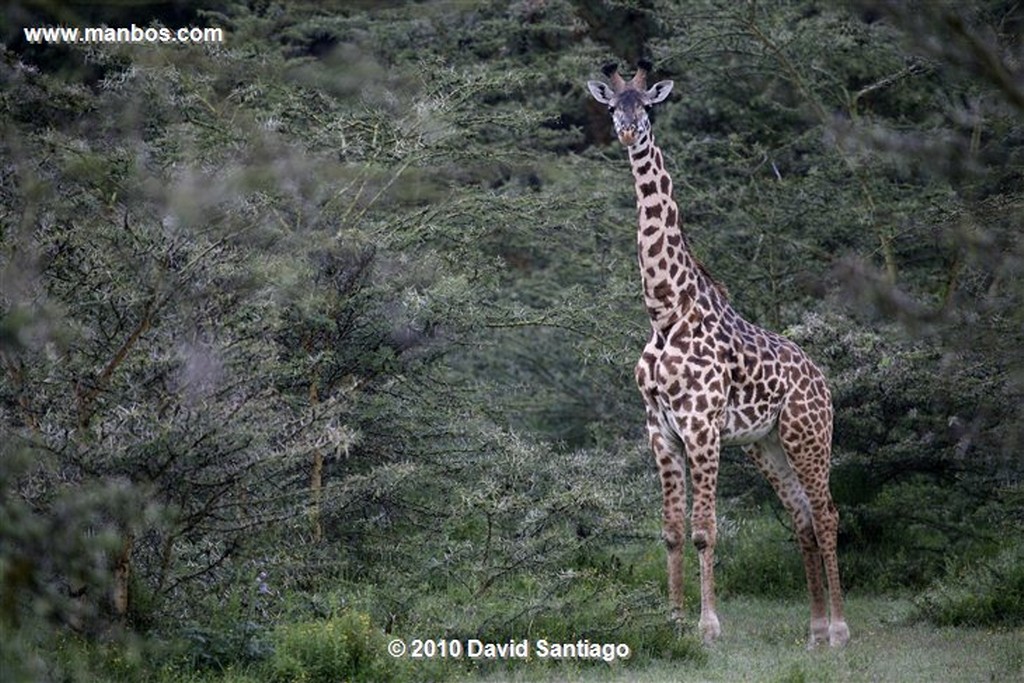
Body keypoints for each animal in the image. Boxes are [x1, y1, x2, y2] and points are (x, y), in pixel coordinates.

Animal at [589, 62, 851, 647]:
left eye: (648, 106)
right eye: (612, 106)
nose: (627, 131)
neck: (665, 312)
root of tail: (823, 381)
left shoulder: (702, 426)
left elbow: (705, 531)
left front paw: (708, 626)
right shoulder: (659, 429)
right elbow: (670, 531)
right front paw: (672, 620)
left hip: (807, 436)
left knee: (827, 514)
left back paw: (841, 629)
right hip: (767, 446)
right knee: (802, 518)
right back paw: (814, 630)